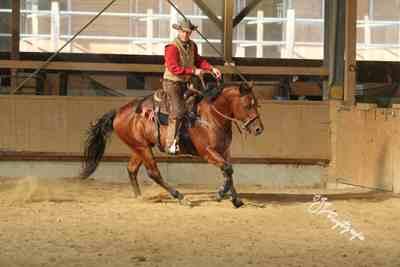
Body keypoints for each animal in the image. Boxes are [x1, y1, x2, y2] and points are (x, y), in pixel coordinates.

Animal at [79, 80, 264, 208]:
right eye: (247, 105)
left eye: (256, 103)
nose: (259, 129)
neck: (210, 116)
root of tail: (118, 112)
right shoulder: (207, 152)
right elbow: (227, 169)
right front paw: (220, 194)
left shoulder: (224, 151)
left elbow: (229, 171)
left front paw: (235, 199)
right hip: (142, 148)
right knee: (153, 173)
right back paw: (180, 197)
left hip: (140, 147)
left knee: (132, 169)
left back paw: (139, 197)